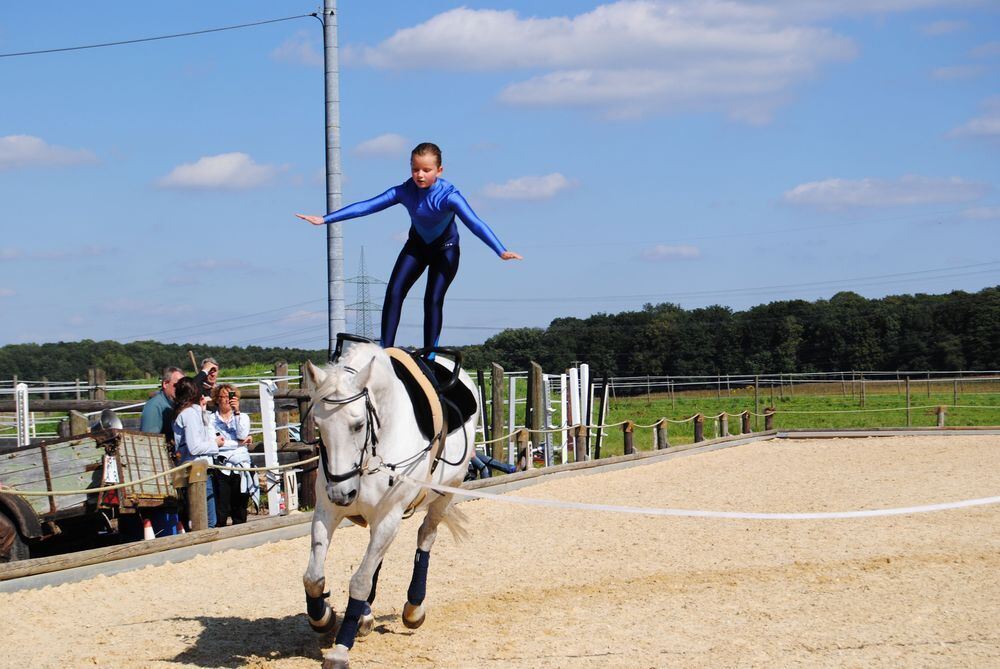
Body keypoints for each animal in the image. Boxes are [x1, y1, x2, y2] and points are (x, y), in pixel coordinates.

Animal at [300, 344, 476, 668]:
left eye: (358, 425)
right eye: (318, 425)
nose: (342, 492)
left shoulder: (388, 517)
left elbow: (359, 581)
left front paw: (341, 647)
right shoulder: (327, 511)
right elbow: (314, 577)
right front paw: (323, 617)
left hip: (445, 494)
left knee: (426, 537)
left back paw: (413, 609)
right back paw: (365, 616)